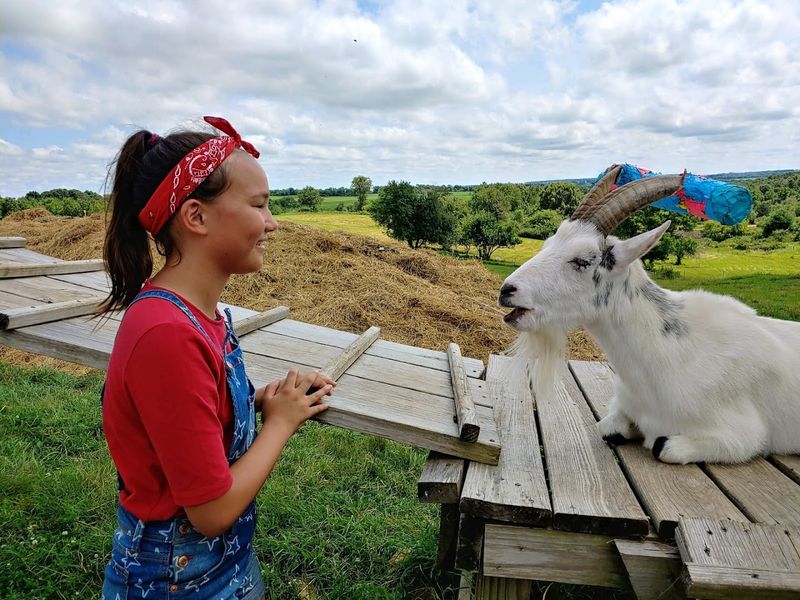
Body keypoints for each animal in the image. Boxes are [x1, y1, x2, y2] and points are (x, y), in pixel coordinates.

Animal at [499, 165, 800, 464]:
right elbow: (609, 428)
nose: (506, 290)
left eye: (582, 261)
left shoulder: (741, 436)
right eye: (548, 244)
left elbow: (662, 446)